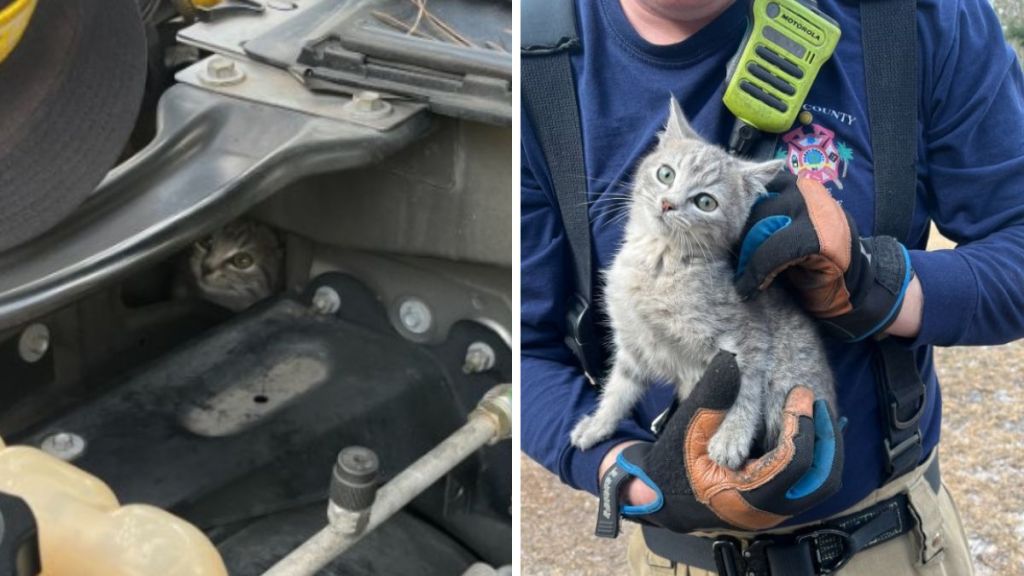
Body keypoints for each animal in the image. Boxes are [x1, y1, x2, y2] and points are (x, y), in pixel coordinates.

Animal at [573, 98, 835, 467]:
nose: (668, 203)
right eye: (666, 174)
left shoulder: (747, 337)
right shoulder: (634, 346)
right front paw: (598, 424)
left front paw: (731, 436)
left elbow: (746, 386)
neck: (659, 263)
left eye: (705, 202)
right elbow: (618, 389)